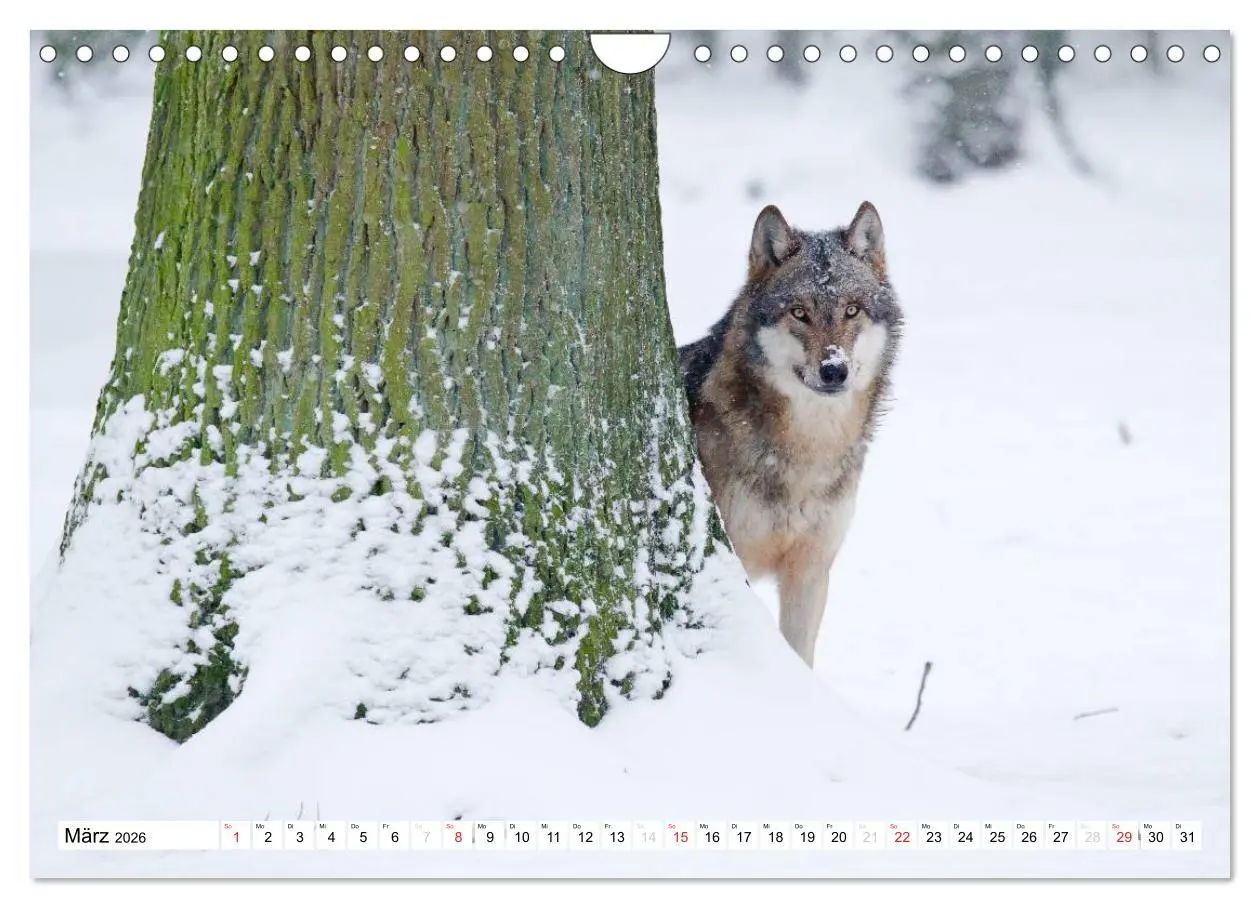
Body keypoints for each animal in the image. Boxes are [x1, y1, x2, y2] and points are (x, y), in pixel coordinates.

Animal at [679, 202, 903, 667]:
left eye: (852, 310)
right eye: (799, 312)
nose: (833, 370)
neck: (809, 454)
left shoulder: (811, 571)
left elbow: (801, 656)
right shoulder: (738, 561)